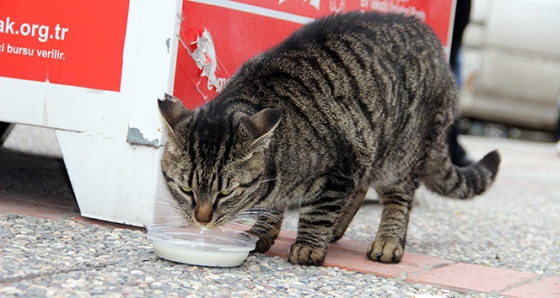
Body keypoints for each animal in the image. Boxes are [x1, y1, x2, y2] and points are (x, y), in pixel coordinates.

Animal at [158, 11, 498, 266]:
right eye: (186, 189)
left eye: (226, 193)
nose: (202, 220)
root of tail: (438, 48)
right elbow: (272, 208)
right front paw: (261, 232)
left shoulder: (341, 167)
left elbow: (318, 212)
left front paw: (309, 245)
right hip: (371, 145)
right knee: (361, 187)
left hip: (399, 156)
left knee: (399, 199)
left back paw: (388, 241)